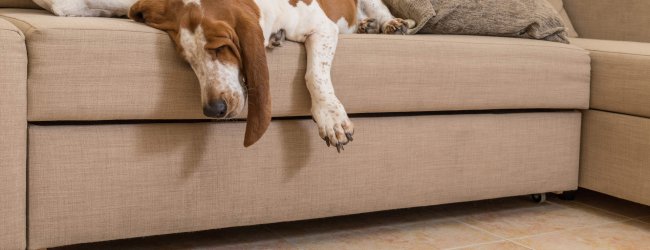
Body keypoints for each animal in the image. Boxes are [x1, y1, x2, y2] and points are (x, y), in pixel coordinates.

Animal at [33, 0, 412, 151]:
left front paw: (331, 120)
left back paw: (388, 24)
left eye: (219, 49)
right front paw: (273, 38)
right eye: (187, 59)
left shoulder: (321, 28)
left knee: (379, 9)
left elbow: (313, 75)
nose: (212, 110)